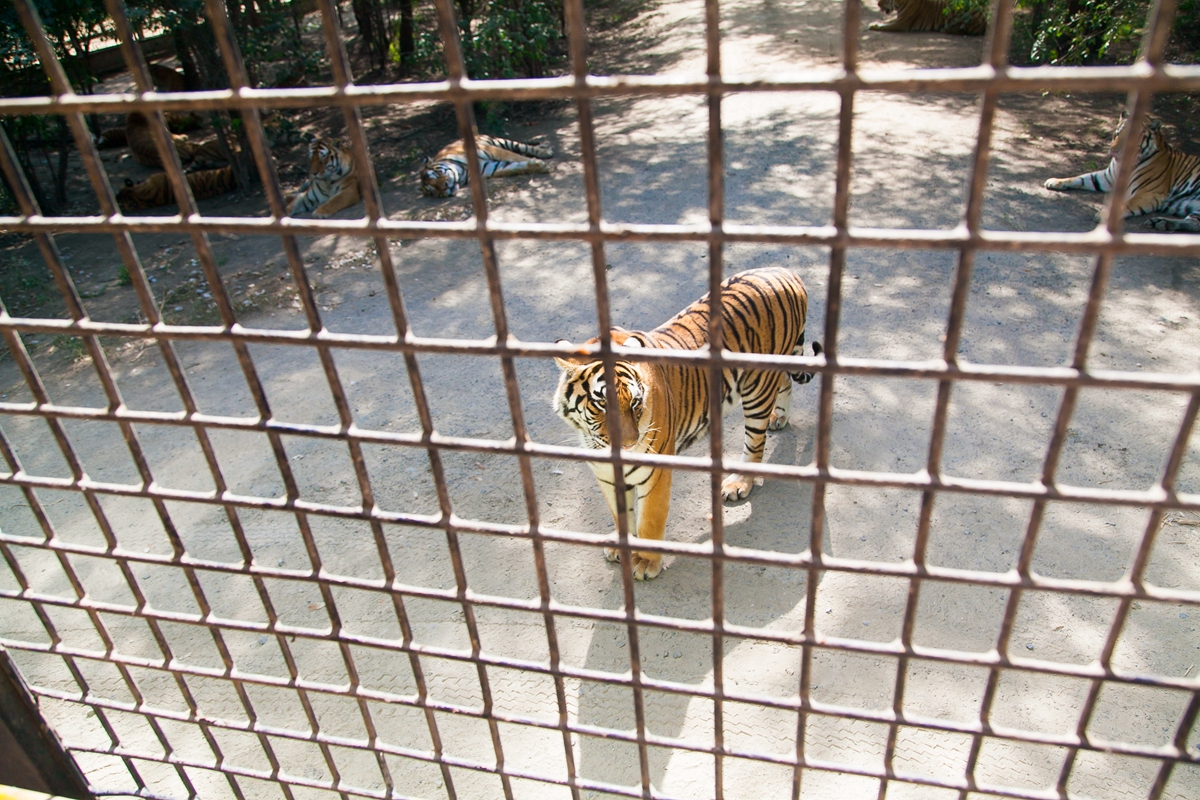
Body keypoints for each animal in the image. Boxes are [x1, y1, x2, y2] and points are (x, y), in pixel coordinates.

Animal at [422, 136, 552, 199]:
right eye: (434, 192)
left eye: (435, 174)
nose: (444, 188)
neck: (463, 172)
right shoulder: (490, 167)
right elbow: (516, 167)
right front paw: (539, 166)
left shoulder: (491, 150)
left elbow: (515, 157)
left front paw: (544, 164)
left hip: (501, 142)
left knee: (523, 147)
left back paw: (545, 150)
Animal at [554, 268, 825, 582]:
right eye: (601, 403)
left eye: (635, 403)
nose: (629, 445)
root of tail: (785, 271)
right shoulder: (607, 475)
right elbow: (620, 514)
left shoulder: (656, 473)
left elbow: (649, 520)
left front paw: (645, 563)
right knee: (784, 382)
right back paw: (779, 417)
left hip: (757, 389)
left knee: (755, 443)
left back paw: (738, 483)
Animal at [1041, 117, 1200, 232]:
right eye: (1117, 134)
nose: (1113, 151)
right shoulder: (1107, 178)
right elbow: (1081, 178)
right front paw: (1055, 181)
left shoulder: (1149, 193)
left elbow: (1127, 203)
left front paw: (1103, 214)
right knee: (1194, 223)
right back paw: (1161, 223)